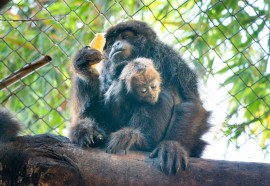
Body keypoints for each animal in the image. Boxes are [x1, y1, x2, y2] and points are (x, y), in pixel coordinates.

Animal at [70, 20, 210, 174]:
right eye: (111, 43)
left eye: (125, 36)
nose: (115, 44)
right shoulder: (106, 68)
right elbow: (90, 111)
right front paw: (84, 66)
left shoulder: (169, 56)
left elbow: (192, 104)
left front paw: (172, 145)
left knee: (161, 95)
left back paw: (139, 141)